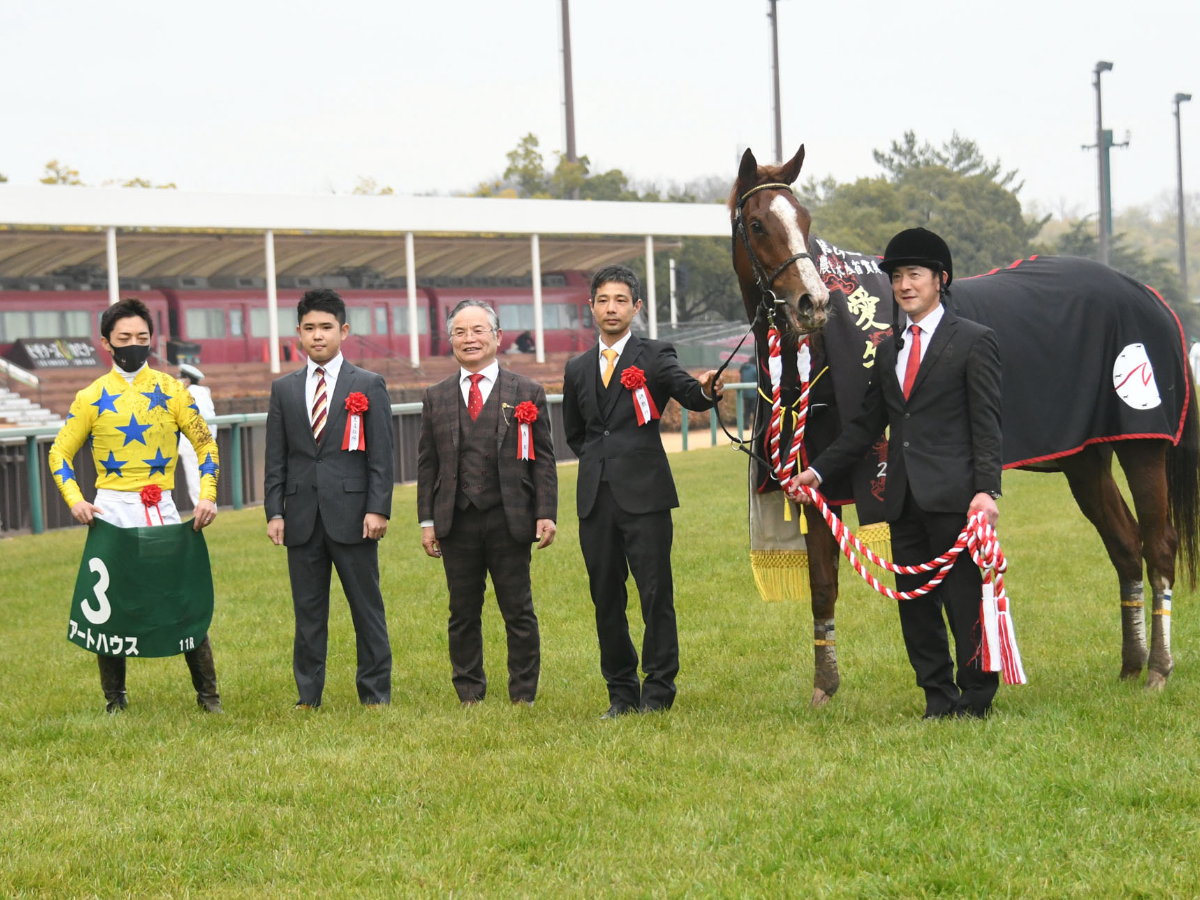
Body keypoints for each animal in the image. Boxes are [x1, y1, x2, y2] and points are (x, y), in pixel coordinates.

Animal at [729, 144, 1200, 710]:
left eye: (804, 220)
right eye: (758, 224)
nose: (813, 304)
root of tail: (1151, 297)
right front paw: (825, 687)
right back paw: (1131, 666)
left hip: (1142, 446)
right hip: (1086, 459)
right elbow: (823, 583)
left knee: (1158, 545)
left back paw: (1158, 669)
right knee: (1126, 547)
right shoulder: (817, 481)